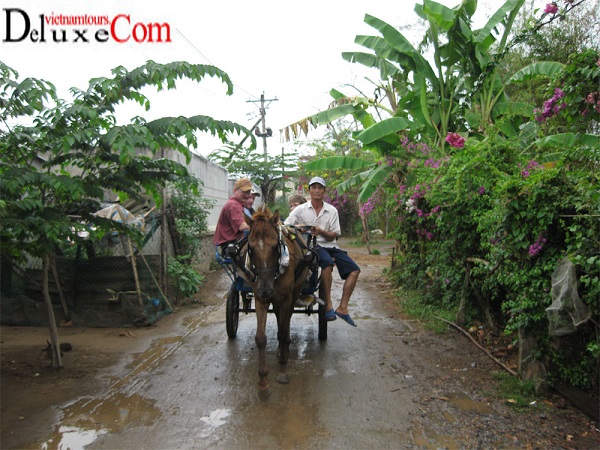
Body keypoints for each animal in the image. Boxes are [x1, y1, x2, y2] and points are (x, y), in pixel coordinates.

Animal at [245, 207, 312, 398]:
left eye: (275, 246)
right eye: (250, 247)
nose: (266, 289)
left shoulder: (285, 298)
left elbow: (282, 332)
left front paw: (282, 370)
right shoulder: (260, 298)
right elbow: (260, 338)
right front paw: (263, 383)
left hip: (294, 292)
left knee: (287, 319)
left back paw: (286, 349)